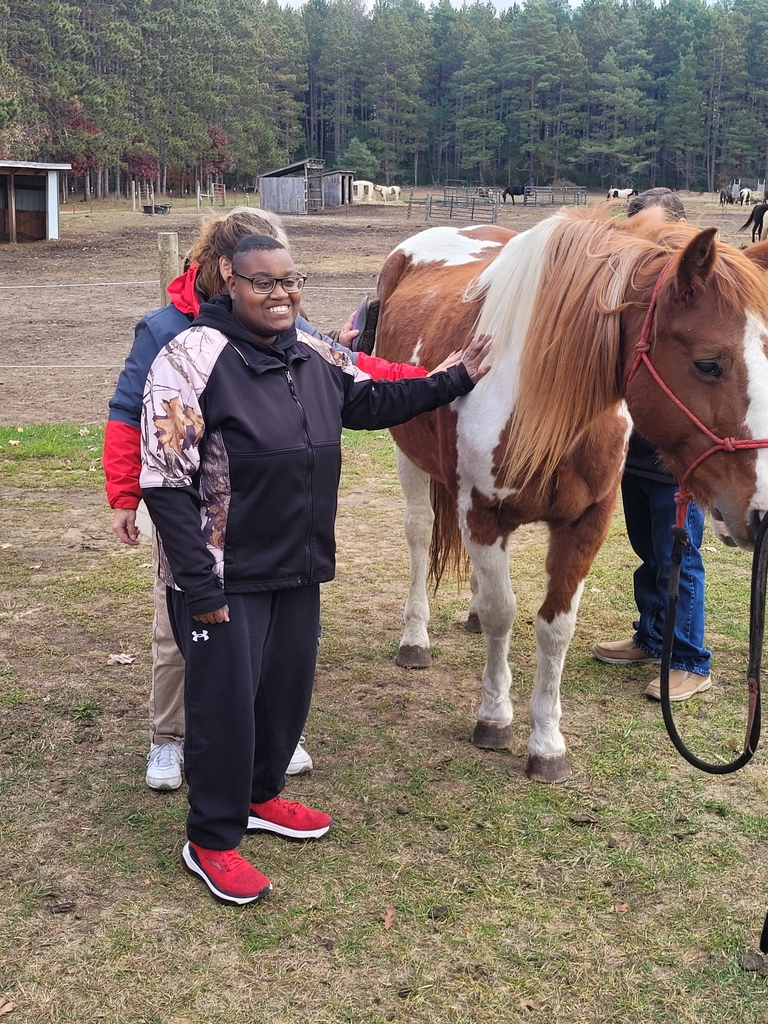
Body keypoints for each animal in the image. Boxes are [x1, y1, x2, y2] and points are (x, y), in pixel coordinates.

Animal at [373, 209, 768, 784]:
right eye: (709, 364)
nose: (760, 513)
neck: (540, 399)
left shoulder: (586, 522)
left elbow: (554, 628)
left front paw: (547, 744)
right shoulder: (482, 514)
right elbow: (504, 613)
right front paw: (495, 717)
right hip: (410, 458)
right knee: (420, 535)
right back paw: (415, 640)